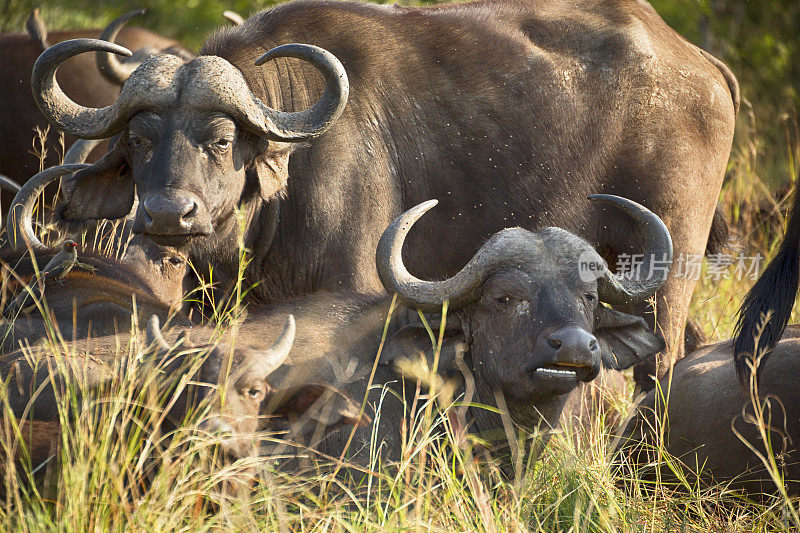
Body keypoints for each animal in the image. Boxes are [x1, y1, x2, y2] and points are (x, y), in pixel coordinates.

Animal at [26, 0, 736, 386]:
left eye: (221, 138)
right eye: (141, 138)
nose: (169, 214)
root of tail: (698, 63)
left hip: (665, 271)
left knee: (659, 364)